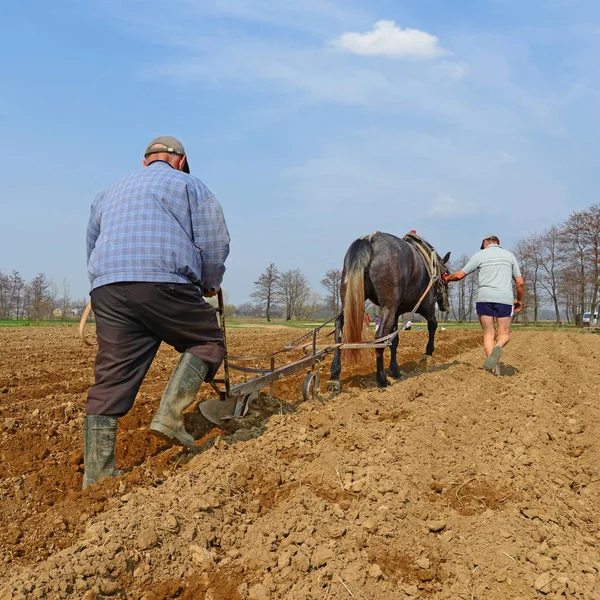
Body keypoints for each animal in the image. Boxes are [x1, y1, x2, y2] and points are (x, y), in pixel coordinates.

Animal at [328, 230, 450, 390]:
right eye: (446, 274)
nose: (446, 304)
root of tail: (368, 240)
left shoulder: (397, 313)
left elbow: (394, 340)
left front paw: (395, 370)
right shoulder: (427, 307)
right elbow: (432, 326)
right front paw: (428, 354)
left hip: (350, 301)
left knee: (339, 328)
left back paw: (335, 375)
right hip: (388, 306)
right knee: (379, 337)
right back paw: (382, 379)